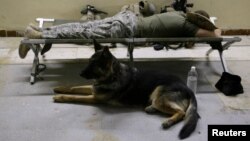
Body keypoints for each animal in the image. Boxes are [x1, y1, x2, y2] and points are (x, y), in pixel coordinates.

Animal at [53, 39, 200, 140]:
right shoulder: (94, 88)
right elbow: (74, 87)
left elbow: (74, 96)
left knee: (182, 112)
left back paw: (168, 121)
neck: (113, 76)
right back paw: (151, 108)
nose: (80, 73)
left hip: (158, 94)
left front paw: (59, 97)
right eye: (89, 61)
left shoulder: (94, 98)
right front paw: (59, 88)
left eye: (94, 64)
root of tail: (187, 88)